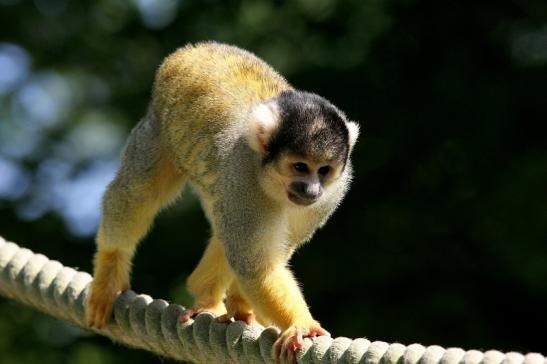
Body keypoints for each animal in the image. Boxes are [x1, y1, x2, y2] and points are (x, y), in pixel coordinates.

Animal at [85, 42, 360, 362]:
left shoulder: (331, 195)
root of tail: (190, 50)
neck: (271, 182)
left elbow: (271, 253)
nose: (312, 190)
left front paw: (242, 306)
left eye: (324, 171)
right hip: (155, 128)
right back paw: (110, 270)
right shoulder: (242, 178)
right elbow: (254, 264)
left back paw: (206, 295)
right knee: (139, 191)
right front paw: (301, 324)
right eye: (300, 167)